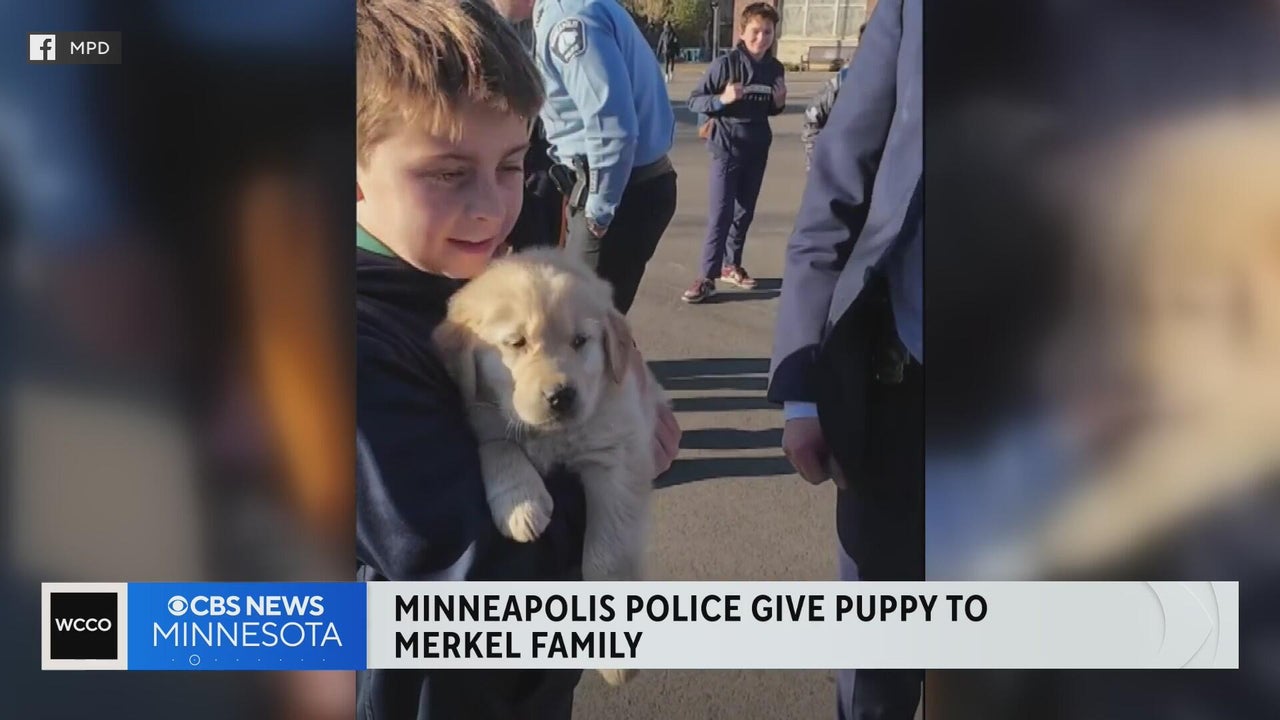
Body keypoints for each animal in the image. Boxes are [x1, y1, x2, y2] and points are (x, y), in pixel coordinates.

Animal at [432, 248, 664, 684]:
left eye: (580, 342)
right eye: (516, 343)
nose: (562, 396)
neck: (550, 436)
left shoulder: (620, 451)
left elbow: (608, 552)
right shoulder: (481, 415)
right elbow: (500, 445)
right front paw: (521, 506)